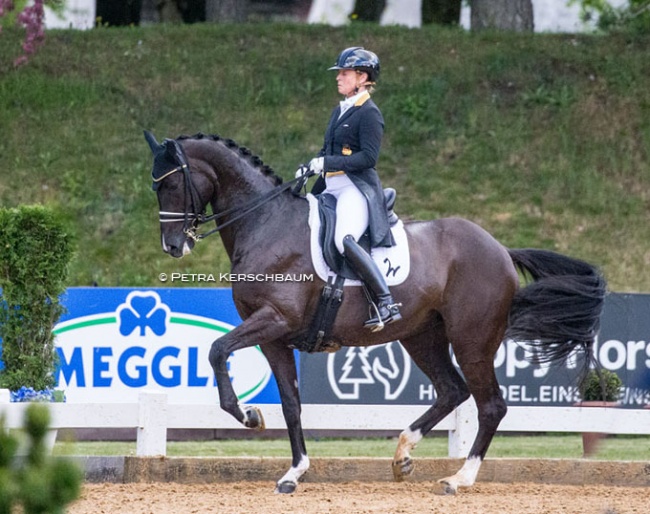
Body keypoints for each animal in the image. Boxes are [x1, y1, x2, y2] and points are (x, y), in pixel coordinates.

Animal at [144, 130, 604, 494]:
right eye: (156, 186)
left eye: (173, 183)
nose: (173, 245)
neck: (266, 223)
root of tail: (500, 250)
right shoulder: (274, 336)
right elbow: (290, 402)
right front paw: (294, 470)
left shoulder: (274, 320)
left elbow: (217, 350)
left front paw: (248, 415)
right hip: (422, 335)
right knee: (452, 391)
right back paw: (402, 456)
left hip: (472, 340)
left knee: (490, 405)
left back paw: (459, 479)